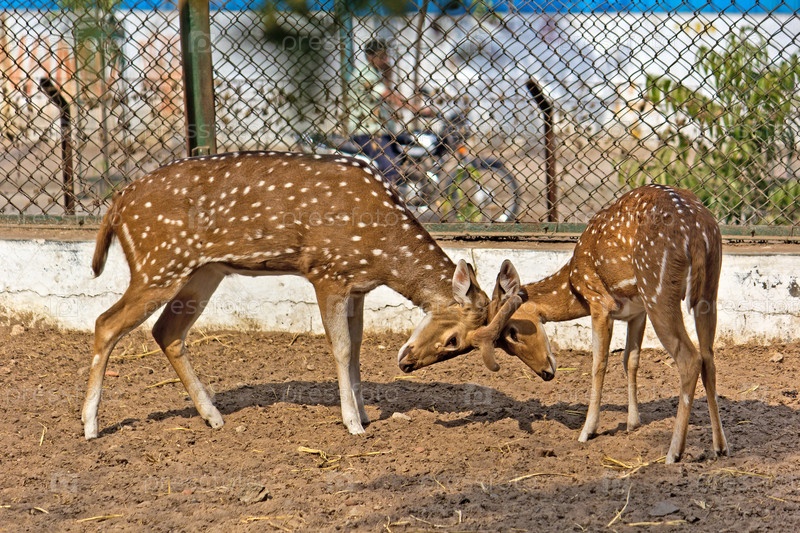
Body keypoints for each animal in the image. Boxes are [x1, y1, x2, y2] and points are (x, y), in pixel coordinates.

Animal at [81, 150, 525, 440]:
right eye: (454, 340)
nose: (407, 364)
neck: (382, 253)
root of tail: (116, 203)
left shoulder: (358, 287)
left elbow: (357, 347)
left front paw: (365, 413)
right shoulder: (326, 272)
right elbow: (341, 348)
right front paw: (353, 424)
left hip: (203, 271)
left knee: (167, 331)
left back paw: (213, 416)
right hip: (160, 263)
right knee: (105, 322)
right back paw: (90, 425)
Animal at [399, 184, 728, 464]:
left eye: (511, 333)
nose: (546, 373)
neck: (573, 284)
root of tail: (697, 229)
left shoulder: (600, 302)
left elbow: (598, 364)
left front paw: (588, 431)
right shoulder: (636, 311)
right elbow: (630, 360)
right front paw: (632, 424)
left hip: (658, 286)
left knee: (690, 357)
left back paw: (674, 452)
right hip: (708, 288)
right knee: (709, 356)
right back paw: (719, 446)